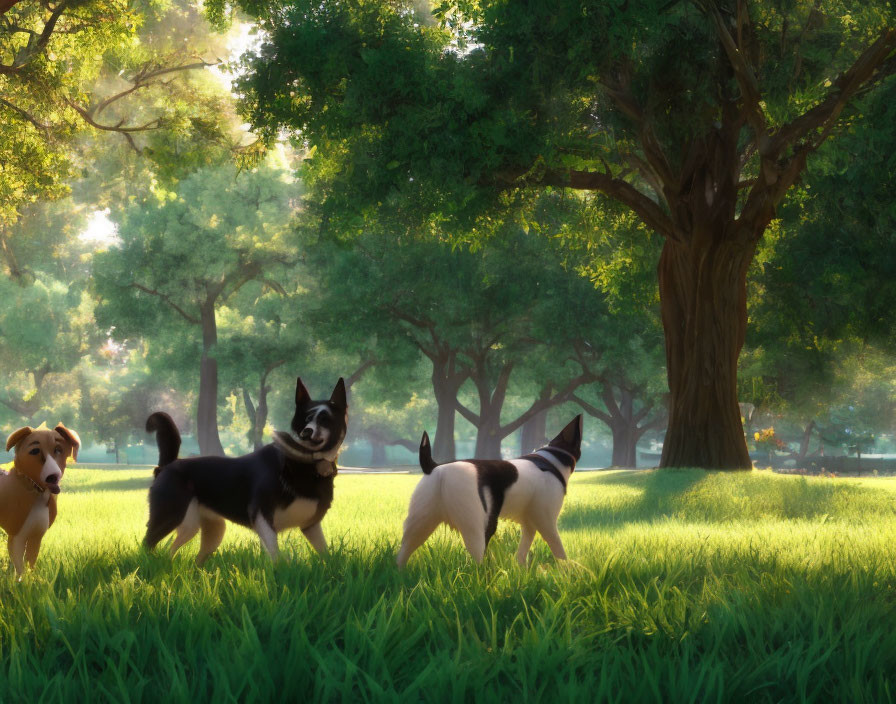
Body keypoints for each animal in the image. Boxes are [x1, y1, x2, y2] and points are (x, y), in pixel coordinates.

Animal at [0, 426, 79, 576]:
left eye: (58, 449)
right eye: (35, 451)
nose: (53, 476)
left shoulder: (36, 536)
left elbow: (30, 563)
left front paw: (33, 580)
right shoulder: (17, 536)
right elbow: (20, 568)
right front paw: (21, 581)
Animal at [144, 376, 346, 564]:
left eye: (325, 419)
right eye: (306, 418)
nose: (306, 432)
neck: (303, 463)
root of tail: (167, 465)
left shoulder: (311, 526)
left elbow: (326, 555)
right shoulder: (262, 517)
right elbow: (276, 556)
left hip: (207, 529)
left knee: (176, 553)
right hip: (172, 517)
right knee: (149, 545)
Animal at [398, 416, 580, 568]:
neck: (552, 459)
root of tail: (436, 467)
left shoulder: (529, 523)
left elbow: (523, 550)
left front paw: (521, 570)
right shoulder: (546, 521)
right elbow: (559, 549)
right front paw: (568, 572)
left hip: (420, 522)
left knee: (402, 554)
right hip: (475, 526)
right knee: (477, 559)